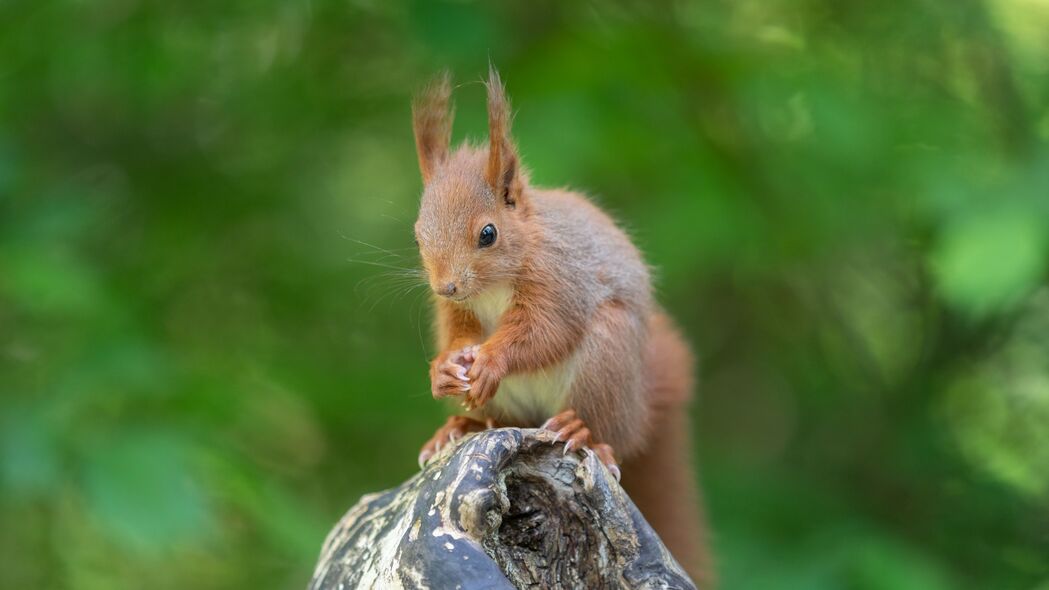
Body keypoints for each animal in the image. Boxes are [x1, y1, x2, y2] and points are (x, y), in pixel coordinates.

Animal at [409, 68, 713, 583]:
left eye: (487, 233)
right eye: (417, 233)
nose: (446, 286)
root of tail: (638, 408)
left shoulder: (559, 280)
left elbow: (545, 332)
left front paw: (491, 361)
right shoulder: (458, 312)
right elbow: (458, 336)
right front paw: (444, 369)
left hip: (608, 358)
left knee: (606, 431)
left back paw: (580, 429)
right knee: (502, 421)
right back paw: (460, 424)